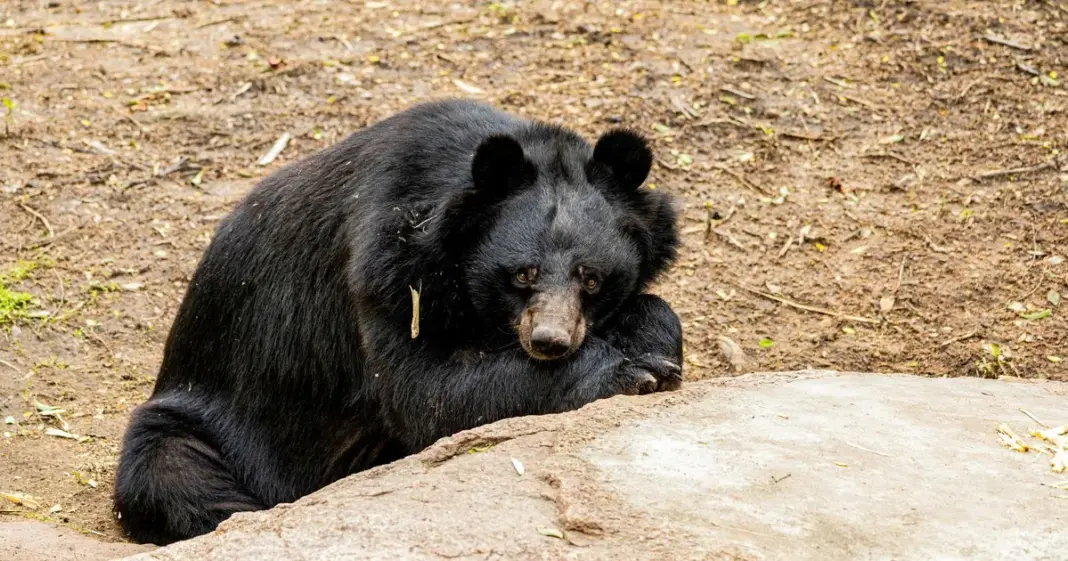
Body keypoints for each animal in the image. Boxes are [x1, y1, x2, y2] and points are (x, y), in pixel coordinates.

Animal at [112, 99, 684, 545]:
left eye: (592, 278)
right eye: (522, 273)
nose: (550, 342)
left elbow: (654, 309)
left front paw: (655, 348)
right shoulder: (386, 268)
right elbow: (424, 392)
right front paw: (631, 373)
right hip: (202, 421)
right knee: (173, 472)